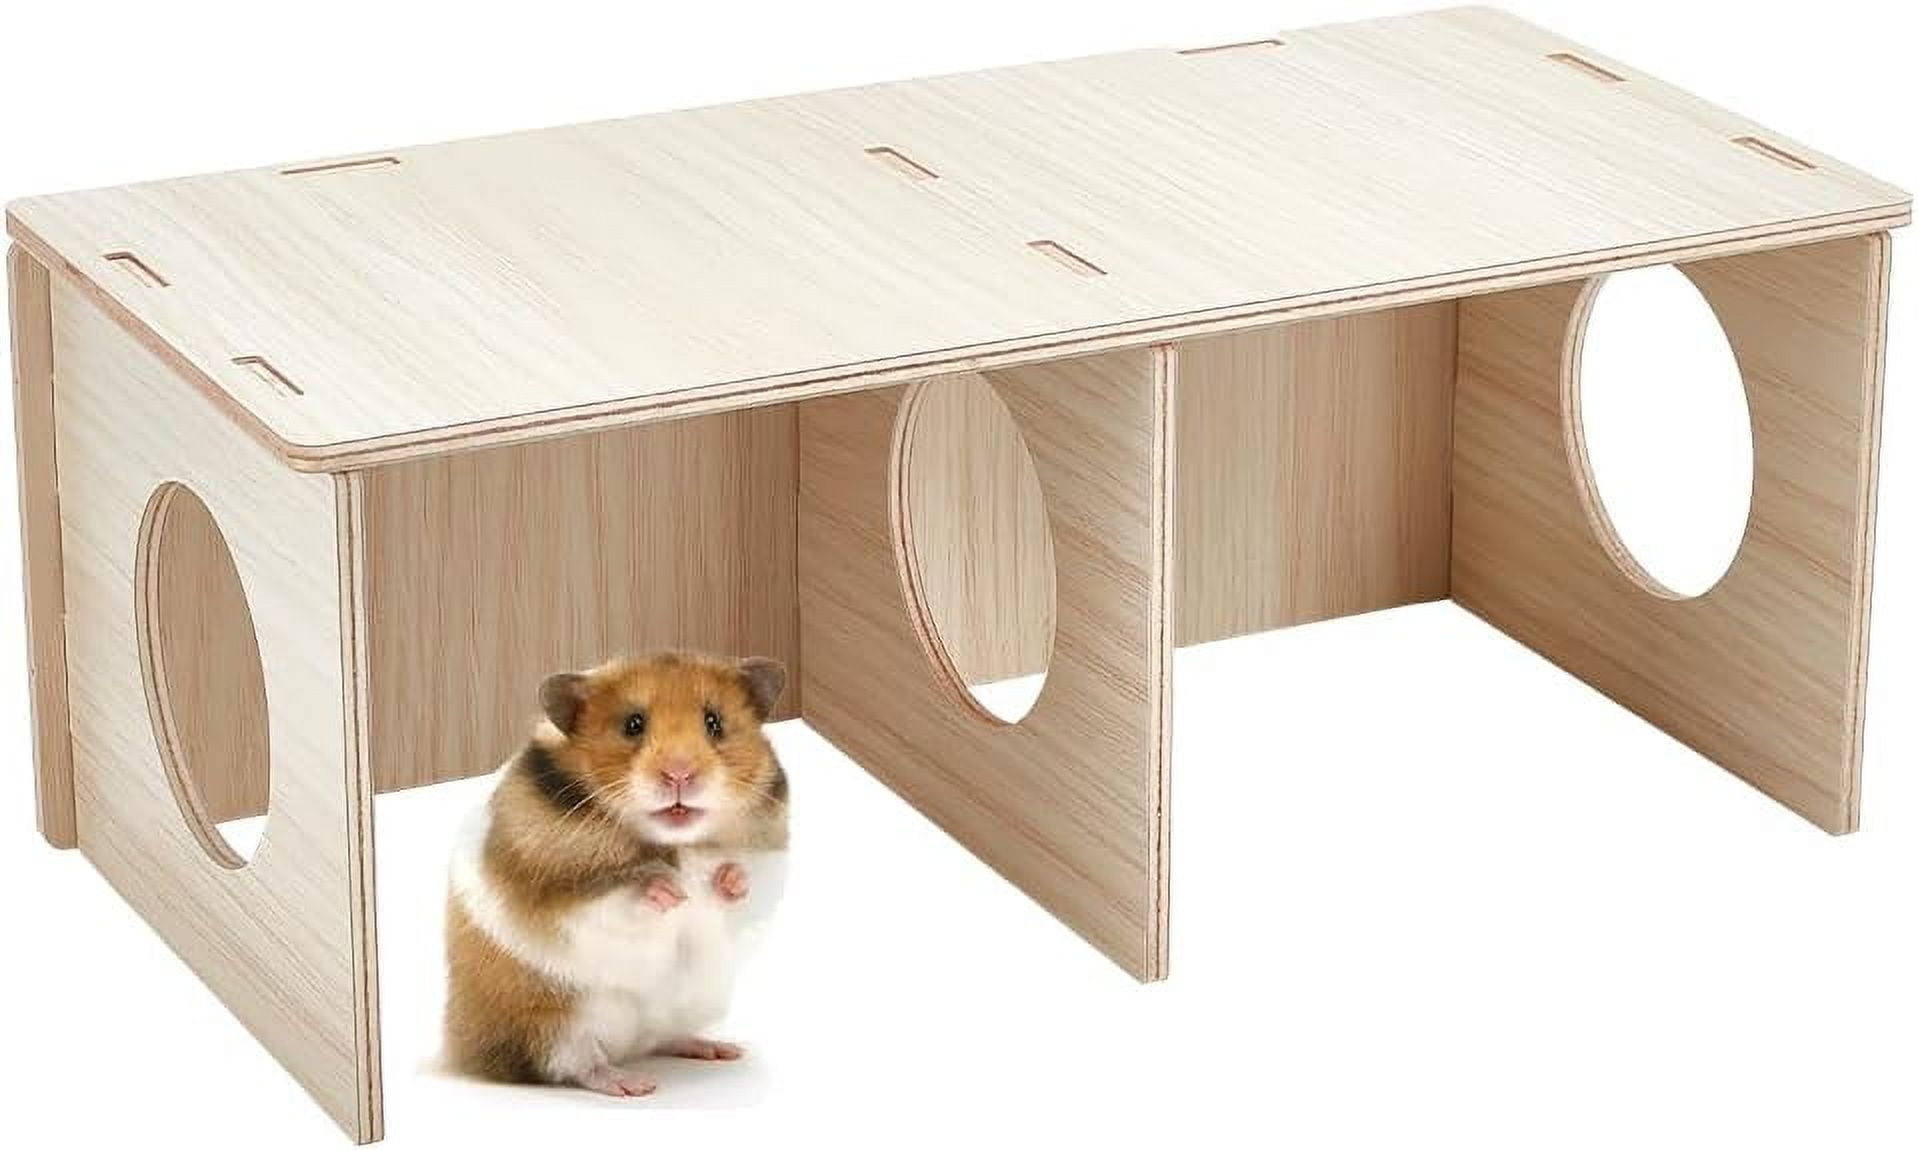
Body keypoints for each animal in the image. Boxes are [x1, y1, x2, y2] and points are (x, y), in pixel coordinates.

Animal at [443, 651, 790, 1098]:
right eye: (633, 725)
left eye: (714, 722)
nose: (680, 774)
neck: (673, 841)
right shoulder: (564, 897)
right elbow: (618, 898)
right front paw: (670, 890)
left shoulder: (769, 864)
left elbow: (747, 886)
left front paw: (728, 879)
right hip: (553, 1022)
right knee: (576, 1064)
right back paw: (633, 1085)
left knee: (663, 1039)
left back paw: (718, 1050)